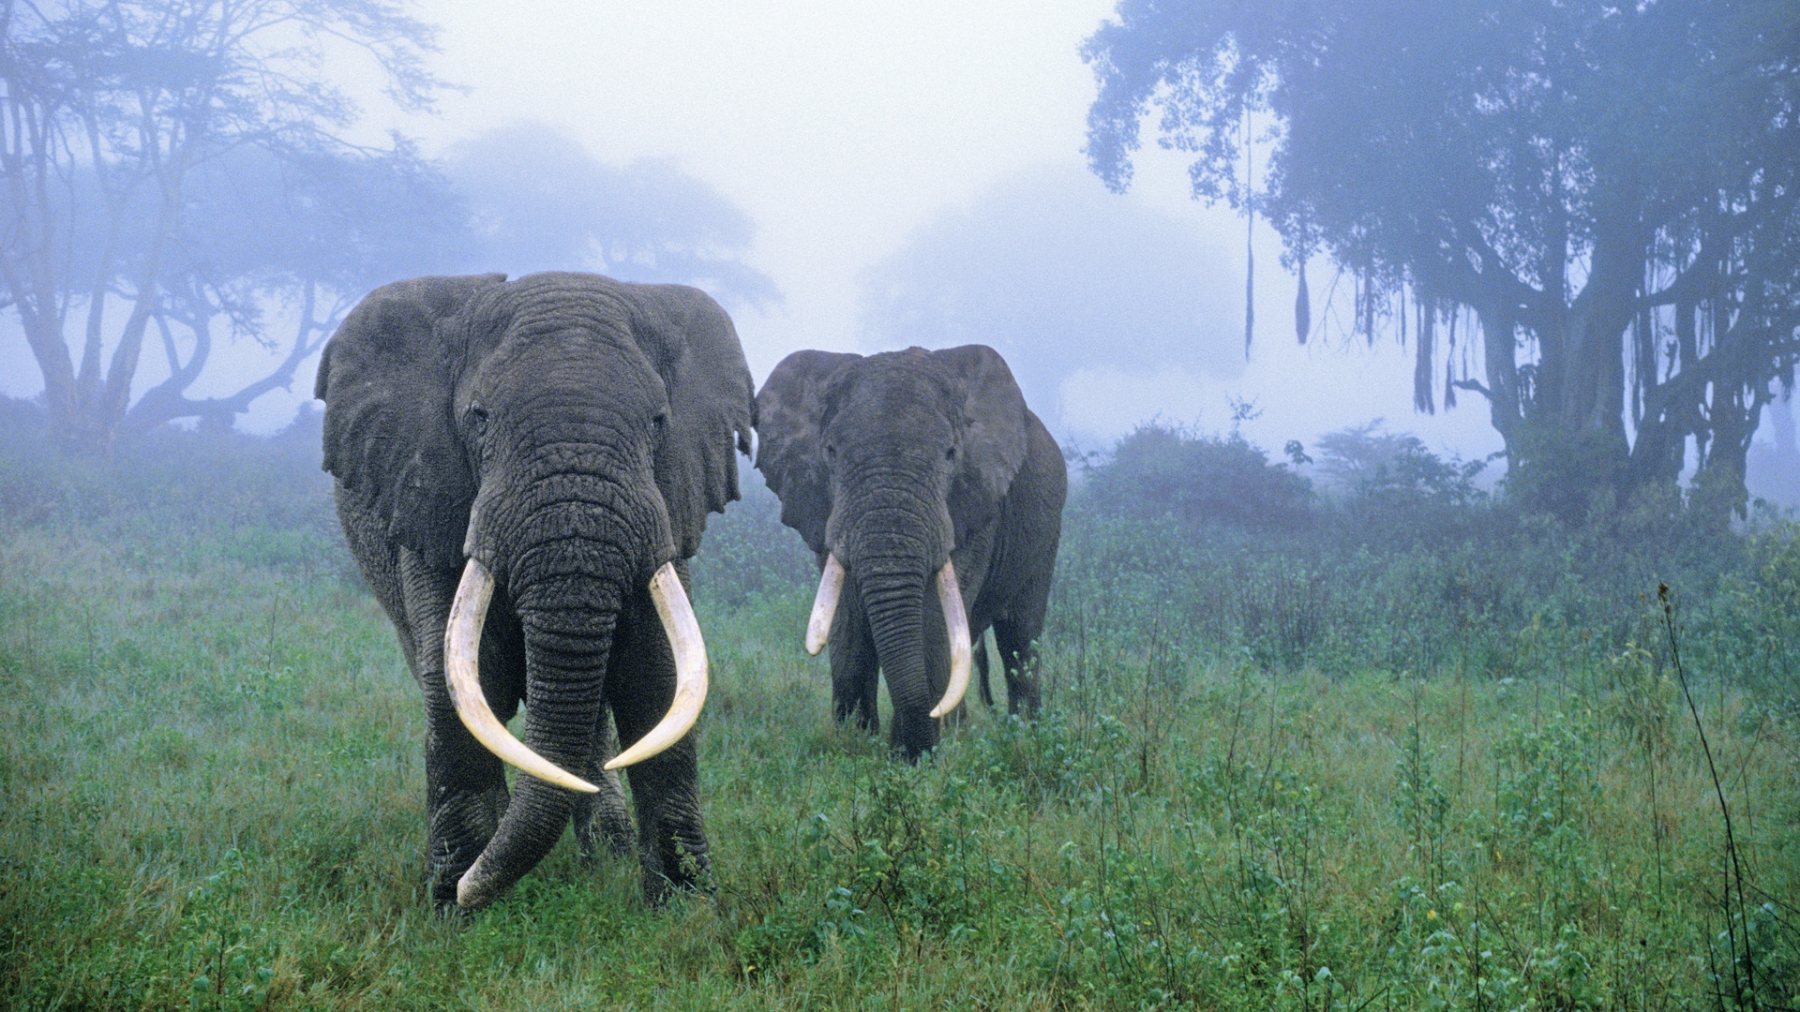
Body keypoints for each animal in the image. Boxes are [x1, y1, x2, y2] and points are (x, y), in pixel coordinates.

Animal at [316, 271, 752, 911]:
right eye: (478, 417)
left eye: (658, 421)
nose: (466, 892)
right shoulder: (432, 503)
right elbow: (462, 682)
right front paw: (454, 906)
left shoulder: (670, 508)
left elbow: (659, 680)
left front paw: (688, 908)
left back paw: (605, 853)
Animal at [752, 343, 1058, 756]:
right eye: (830, 451)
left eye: (950, 453)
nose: (913, 749)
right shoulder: (824, 507)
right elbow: (847, 620)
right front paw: (854, 745)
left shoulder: (975, 504)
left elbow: (934, 619)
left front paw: (914, 758)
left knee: (1020, 637)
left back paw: (1023, 735)